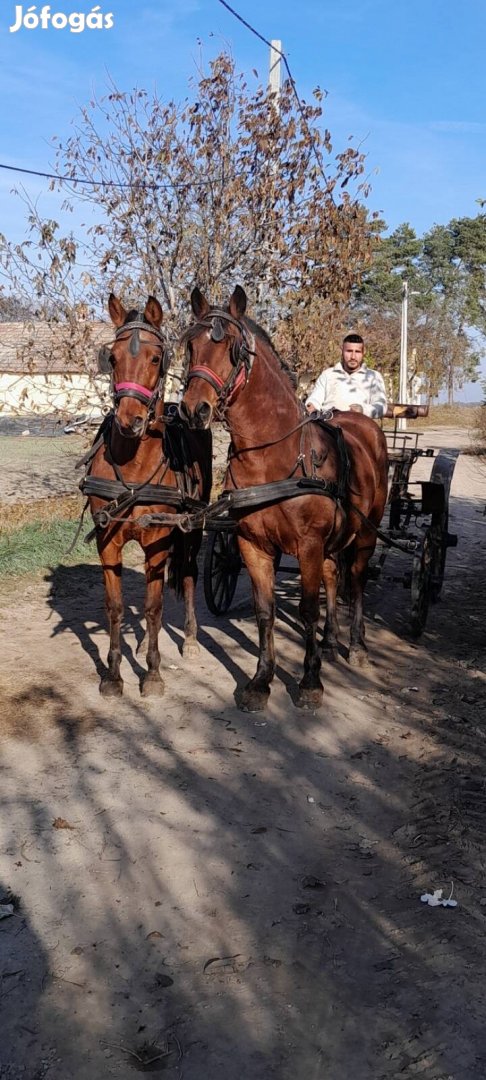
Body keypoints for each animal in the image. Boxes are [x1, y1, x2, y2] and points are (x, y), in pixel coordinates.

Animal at [83, 295, 210, 695]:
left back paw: (190, 639)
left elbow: (154, 608)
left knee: (189, 574)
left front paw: (152, 674)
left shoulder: (159, 538)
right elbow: (116, 608)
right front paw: (112, 674)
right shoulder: (107, 540)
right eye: (112, 358)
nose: (130, 420)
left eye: (156, 358)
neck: (135, 464)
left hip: (192, 529)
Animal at [180, 285, 388, 717]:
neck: (273, 457)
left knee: (357, 580)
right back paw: (330, 641)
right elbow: (265, 612)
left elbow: (307, 609)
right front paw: (261, 681)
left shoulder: (307, 545)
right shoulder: (253, 546)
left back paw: (356, 646)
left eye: (233, 349)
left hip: (366, 532)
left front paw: (310, 682)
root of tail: (362, 423)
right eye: (190, 346)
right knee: (333, 575)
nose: (194, 410)